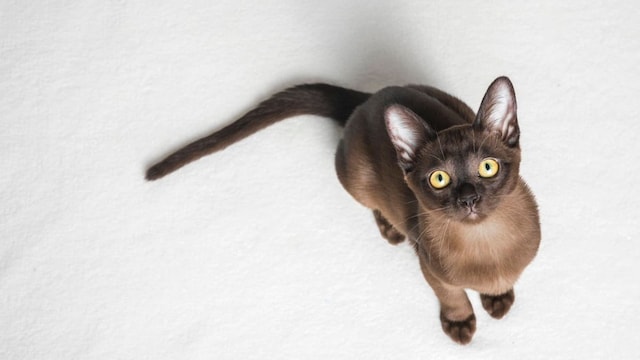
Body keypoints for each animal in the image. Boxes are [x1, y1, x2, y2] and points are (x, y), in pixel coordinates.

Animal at [146, 76, 540, 344]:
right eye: (439, 179)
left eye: (487, 168)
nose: (468, 198)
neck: (486, 241)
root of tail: (369, 100)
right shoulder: (429, 268)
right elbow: (452, 294)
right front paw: (460, 324)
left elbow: (501, 284)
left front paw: (499, 299)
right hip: (354, 179)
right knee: (377, 207)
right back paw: (390, 231)